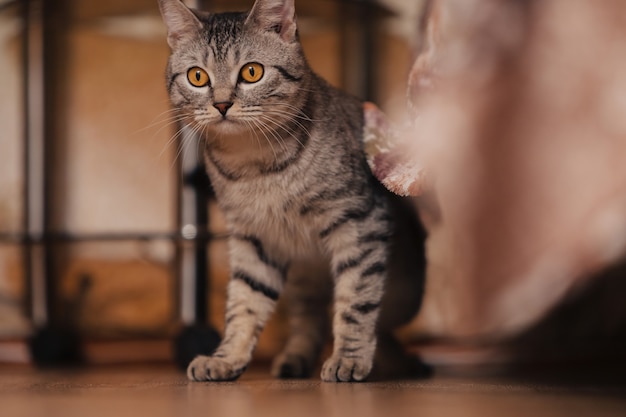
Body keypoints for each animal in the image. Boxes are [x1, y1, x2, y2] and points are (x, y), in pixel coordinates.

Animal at [158, 0, 426, 380]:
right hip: (303, 282)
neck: (256, 167)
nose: (222, 104)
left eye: (251, 72)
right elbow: (244, 302)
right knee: (310, 318)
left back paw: (398, 362)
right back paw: (295, 358)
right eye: (197, 77)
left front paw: (349, 357)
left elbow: (356, 300)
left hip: (405, 294)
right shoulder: (253, 239)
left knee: (381, 322)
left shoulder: (361, 222)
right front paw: (227, 357)